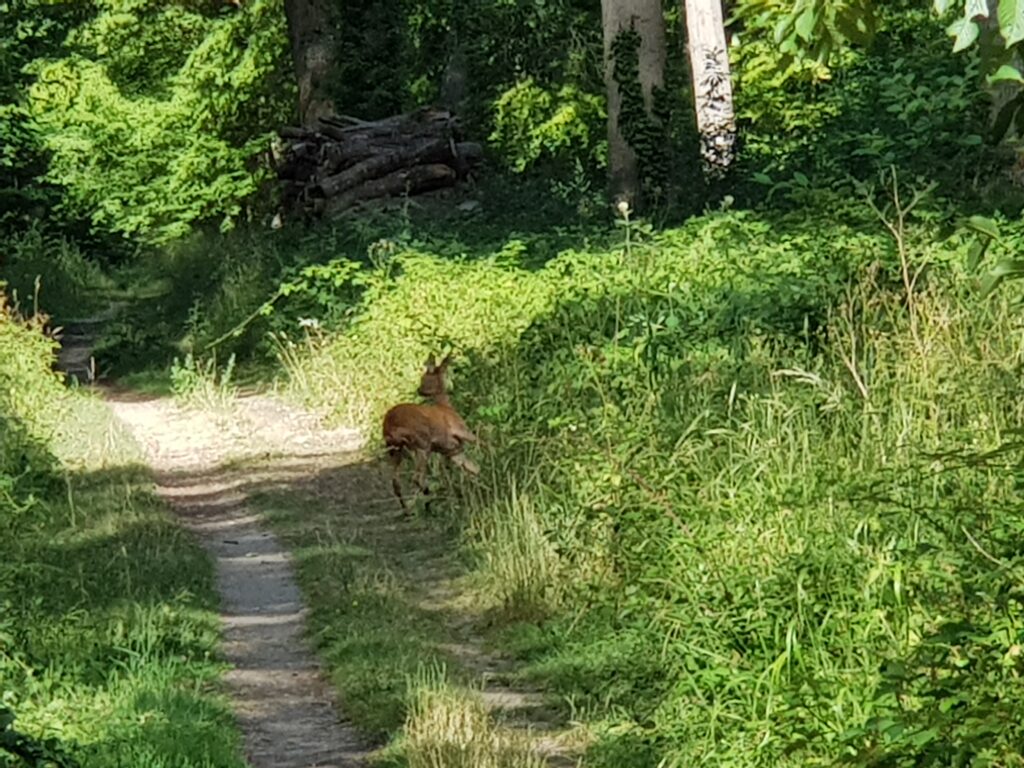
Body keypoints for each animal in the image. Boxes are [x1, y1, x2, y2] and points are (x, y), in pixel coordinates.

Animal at [385, 354, 479, 512]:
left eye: (424, 379)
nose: (418, 390)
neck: (445, 406)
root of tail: (391, 427)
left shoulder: (451, 450)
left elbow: (471, 468)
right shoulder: (460, 431)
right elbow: (482, 442)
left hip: (396, 450)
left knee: (395, 482)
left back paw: (409, 509)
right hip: (421, 444)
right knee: (416, 478)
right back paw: (430, 500)